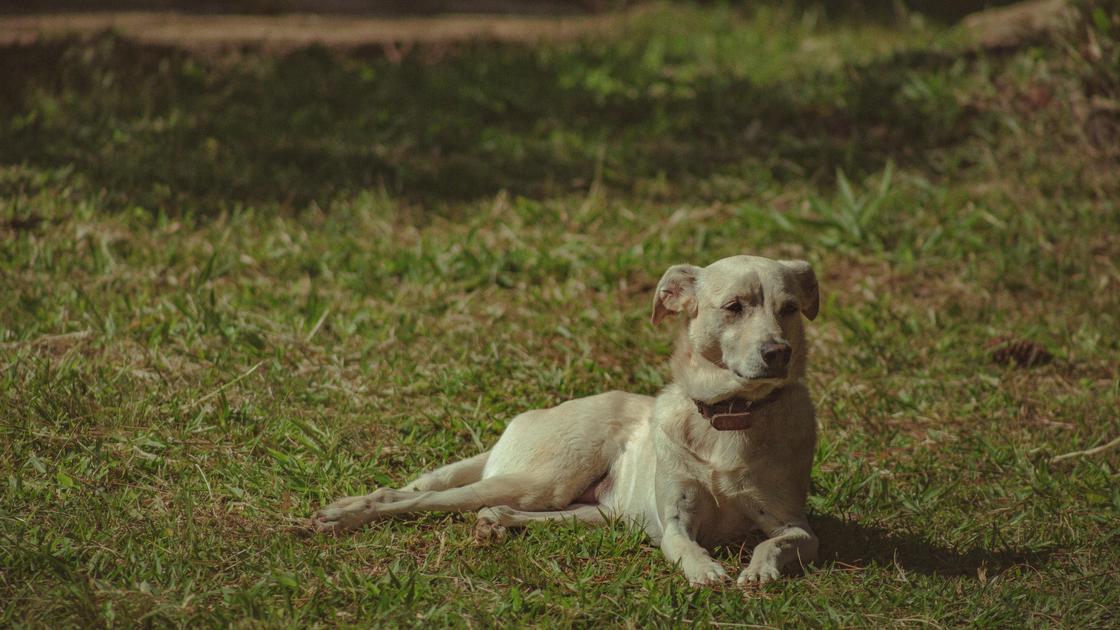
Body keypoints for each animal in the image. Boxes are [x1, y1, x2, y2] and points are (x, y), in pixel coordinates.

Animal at [311, 252, 819, 587]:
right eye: (734, 307)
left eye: (789, 308)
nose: (778, 352)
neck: (731, 416)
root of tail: (523, 420)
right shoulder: (676, 518)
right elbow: (682, 545)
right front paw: (703, 568)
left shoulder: (793, 523)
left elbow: (774, 542)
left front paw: (759, 570)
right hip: (545, 479)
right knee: (414, 497)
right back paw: (346, 515)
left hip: (595, 511)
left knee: (501, 509)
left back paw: (494, 522)